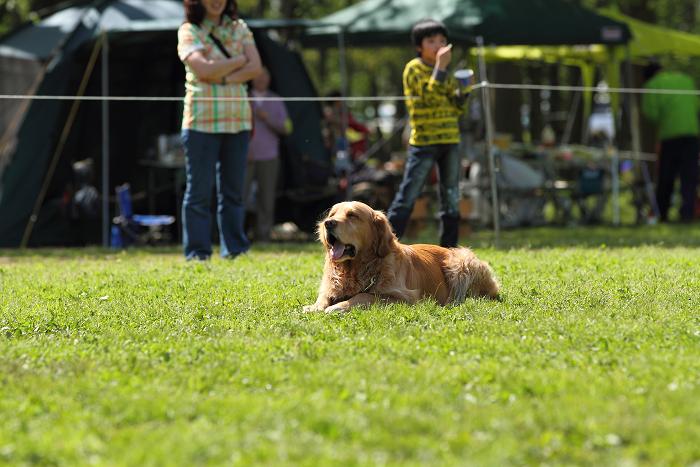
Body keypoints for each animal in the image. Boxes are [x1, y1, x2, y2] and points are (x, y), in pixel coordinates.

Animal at [304, 201, 500, 314]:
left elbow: (364, 295)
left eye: (352, 215)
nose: (328, 223)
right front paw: (314, 307)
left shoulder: (406, 298)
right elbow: (323, 298)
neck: (355, 268)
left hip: (461, 263)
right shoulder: (330, 288)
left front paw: (337, 307)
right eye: (332, 215)